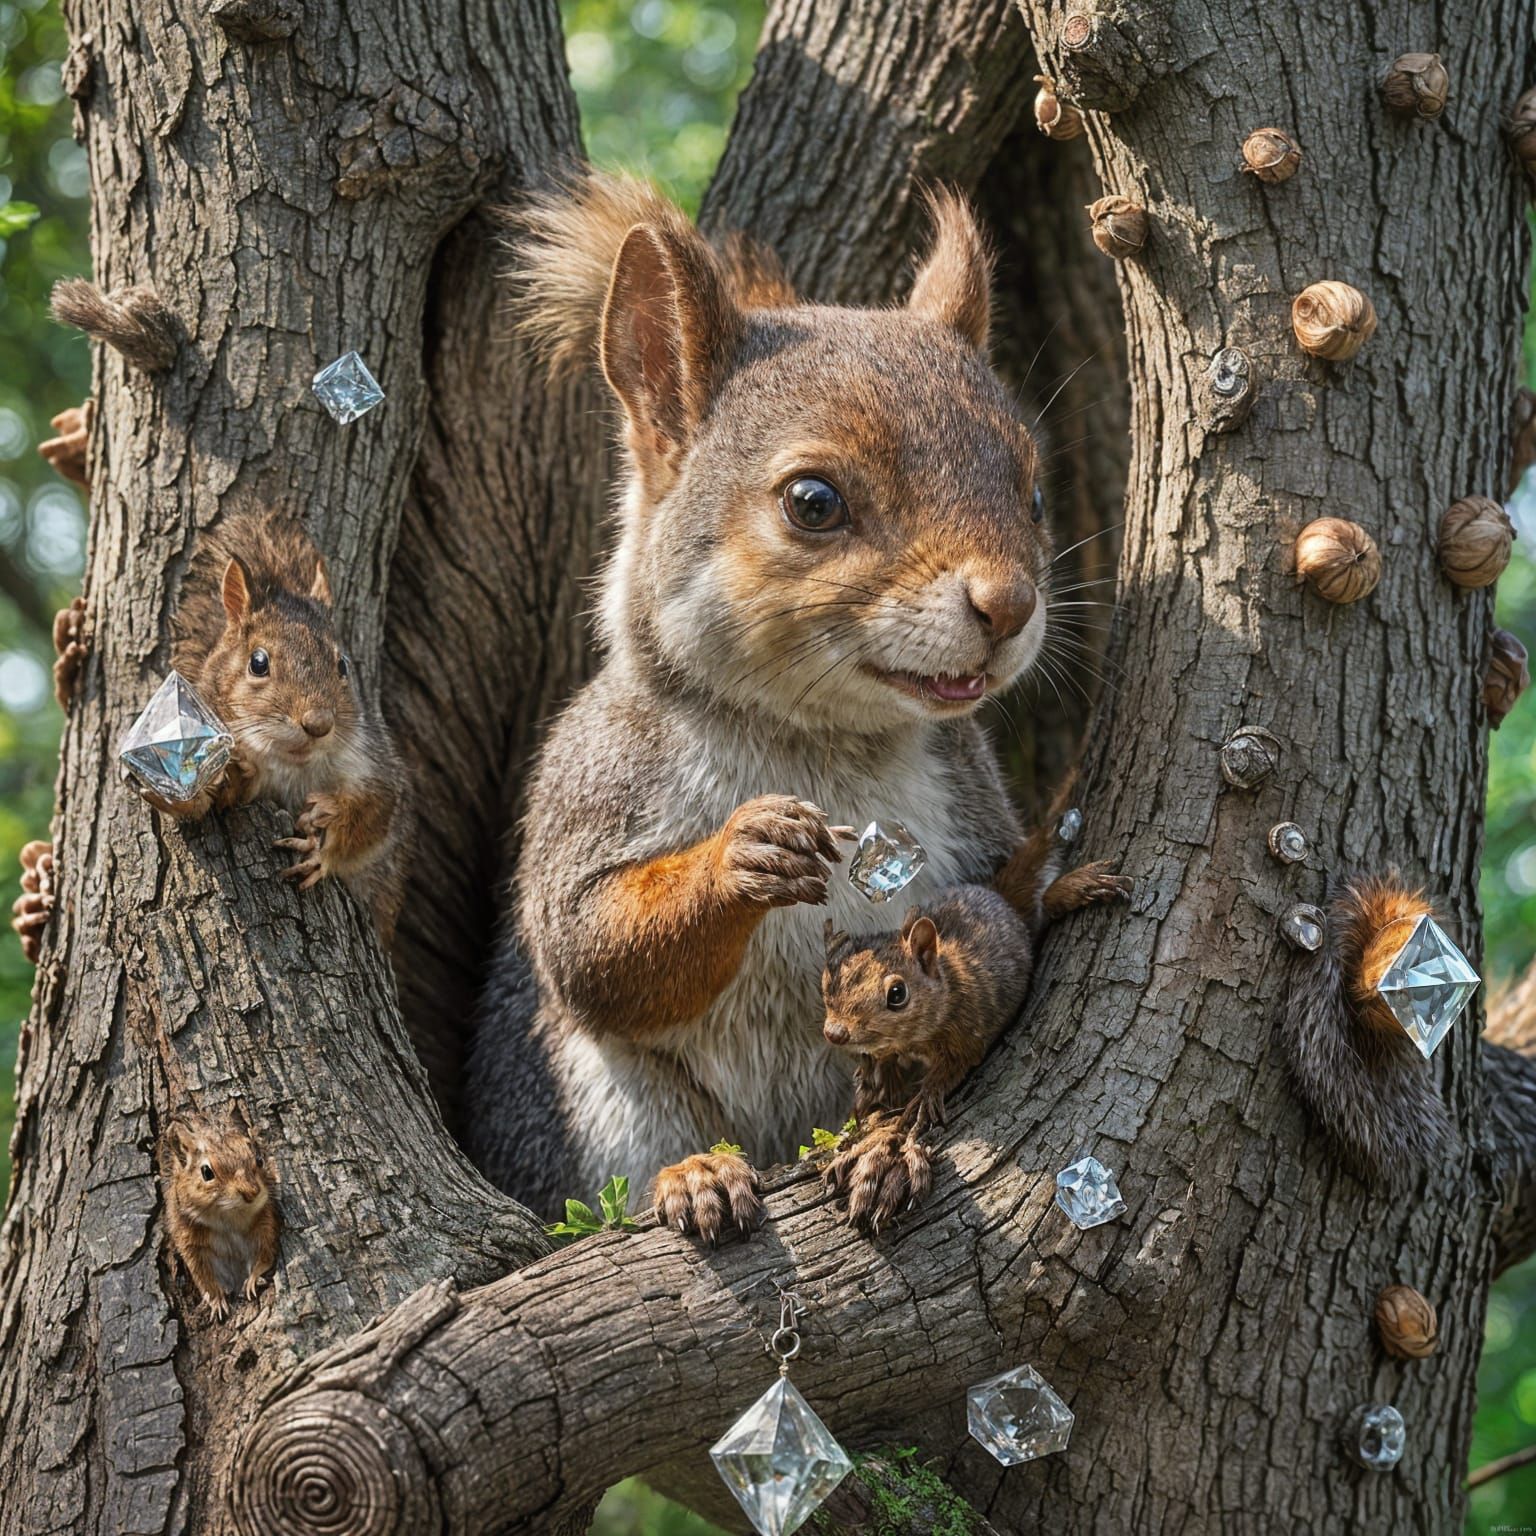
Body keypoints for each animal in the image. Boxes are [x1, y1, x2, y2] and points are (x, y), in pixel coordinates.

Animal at [159, 1115, 279, 1321]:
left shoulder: (265, 1223)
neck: (228, 1218)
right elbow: (204, 1278)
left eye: (259, 1159)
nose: (251, 1192)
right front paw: (216, 1302)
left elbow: (265, 1255)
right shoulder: (191, 1242)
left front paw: (253, 1279)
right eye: (207, 1172)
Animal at [466, 172, 1098, 1243]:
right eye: (813, 500)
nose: (1008, 606)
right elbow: (592, 950)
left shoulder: (966, 805)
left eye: (1036, 495)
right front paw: (743, 853)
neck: (818, 739)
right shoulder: (590, 785)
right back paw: (696, 1175)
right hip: (603, 1103)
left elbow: (993, 920)